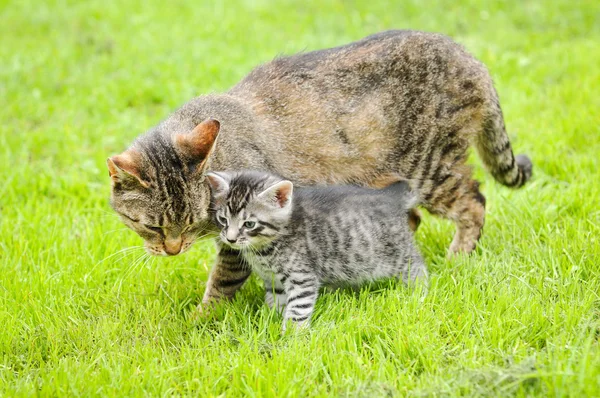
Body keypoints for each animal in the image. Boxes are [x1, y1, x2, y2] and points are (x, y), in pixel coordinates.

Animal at [106, 31, 528, 310]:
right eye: (153, 226)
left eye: (192, 221)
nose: (173, 249)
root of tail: (470, 58)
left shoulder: (240, 237)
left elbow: (222, 282)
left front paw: (203, 319)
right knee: (408, 219)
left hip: (430, 167)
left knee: (473, 202)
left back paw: (457, 259)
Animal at [205, 171, 426, 330]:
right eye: (223, 219)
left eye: (249, 224)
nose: (230, 238)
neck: (264, 249)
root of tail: (390, 197)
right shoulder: (272, 279)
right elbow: (277, 300)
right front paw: (272, 319)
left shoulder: (302, 277)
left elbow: (298, 308)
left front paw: (292, 336)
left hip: (396, 253)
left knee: (417, 265)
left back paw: (418, 293)